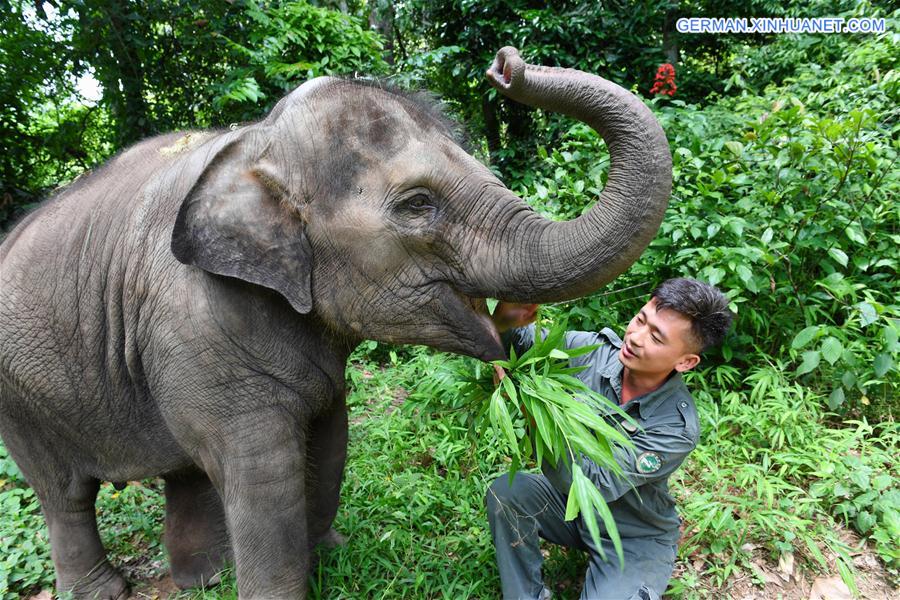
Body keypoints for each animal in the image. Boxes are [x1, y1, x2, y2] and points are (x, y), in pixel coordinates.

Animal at [0, 48, 668, 600]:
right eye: (417, 205)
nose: (506, 64)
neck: (257, 141)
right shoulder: (197, 324)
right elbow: (264, 476)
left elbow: (330, 436)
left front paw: (329, 557)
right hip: (21, 393)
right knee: (64, 493)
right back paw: (105, 590)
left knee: (181, 467)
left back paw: (205, 577)